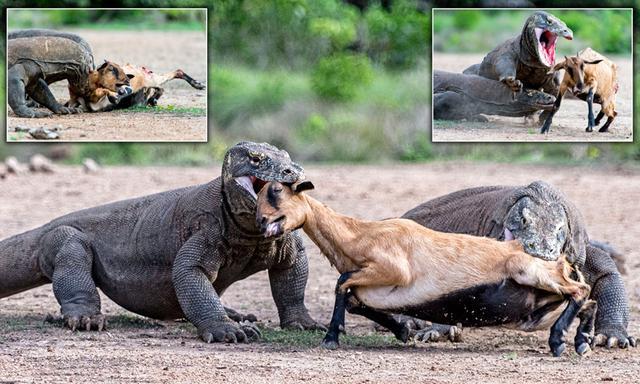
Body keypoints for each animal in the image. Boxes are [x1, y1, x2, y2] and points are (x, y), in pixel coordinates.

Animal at [256, 181, 596, 356]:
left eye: (277, 192)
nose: (261, 221)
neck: (358, 236)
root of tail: (563, 264)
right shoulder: (373, 288)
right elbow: (352, 298)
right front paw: (403, 330)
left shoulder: (394, 269)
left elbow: (342, 282)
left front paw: (331, 336)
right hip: (538, 307)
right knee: (587, 302)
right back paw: (581, 341)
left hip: (530, 271)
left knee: (582, 290)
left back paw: (559, 342)